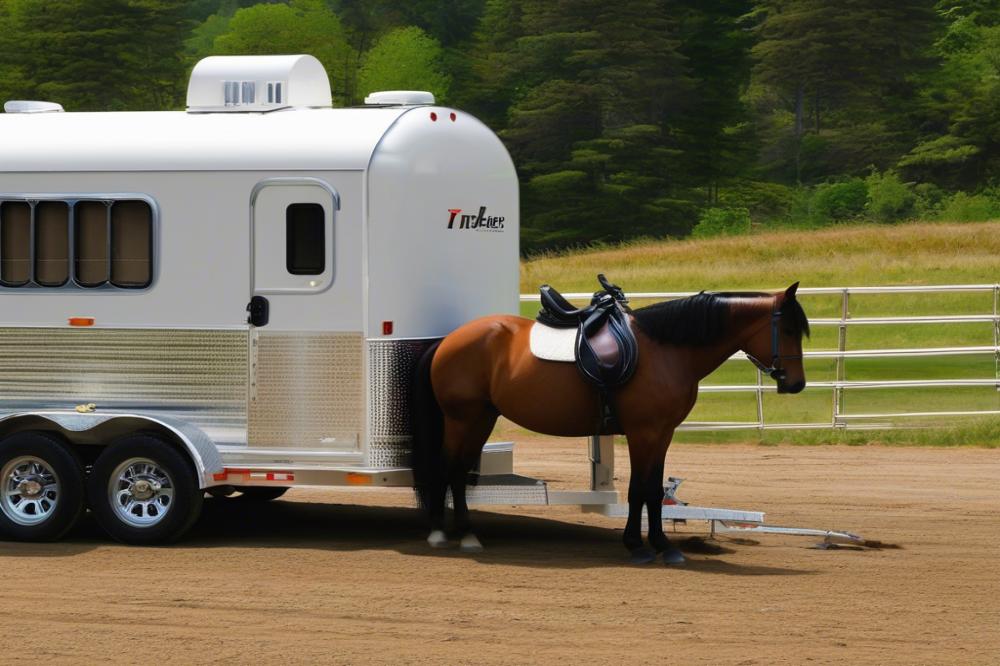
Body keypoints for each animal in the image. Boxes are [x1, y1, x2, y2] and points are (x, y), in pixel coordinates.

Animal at [410, 282, 808, 564]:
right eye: (789, 330)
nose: (796, 384)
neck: (667, 350)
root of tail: (448, 341)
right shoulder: (643, 433)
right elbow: (640, 490)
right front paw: (640, 546)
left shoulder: (662, 433)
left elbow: (652, 490)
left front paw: (660, 545)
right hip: (463, 418)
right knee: (449, 470)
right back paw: (447, 534)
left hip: (481, 418)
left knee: (458, 471)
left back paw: (460, 533)